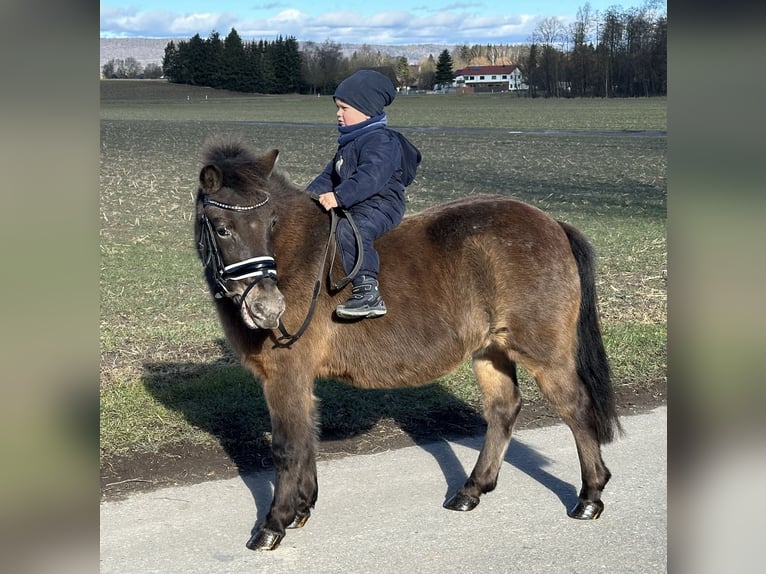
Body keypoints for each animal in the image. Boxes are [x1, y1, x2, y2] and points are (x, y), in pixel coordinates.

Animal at [194, 138, 624, 552]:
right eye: (222, 227)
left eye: (270, 222)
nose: (268, 308)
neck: (297, 257)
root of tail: (552, 224)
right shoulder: (296, 378)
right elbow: (306, 437)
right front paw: (301, 508)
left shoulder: (285, 374)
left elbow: (287, 446)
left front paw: (274, 524)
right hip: (490, 350)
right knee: (503, 409)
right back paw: (471, 490)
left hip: (543, 352)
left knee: (575, 406)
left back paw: (590, 496)